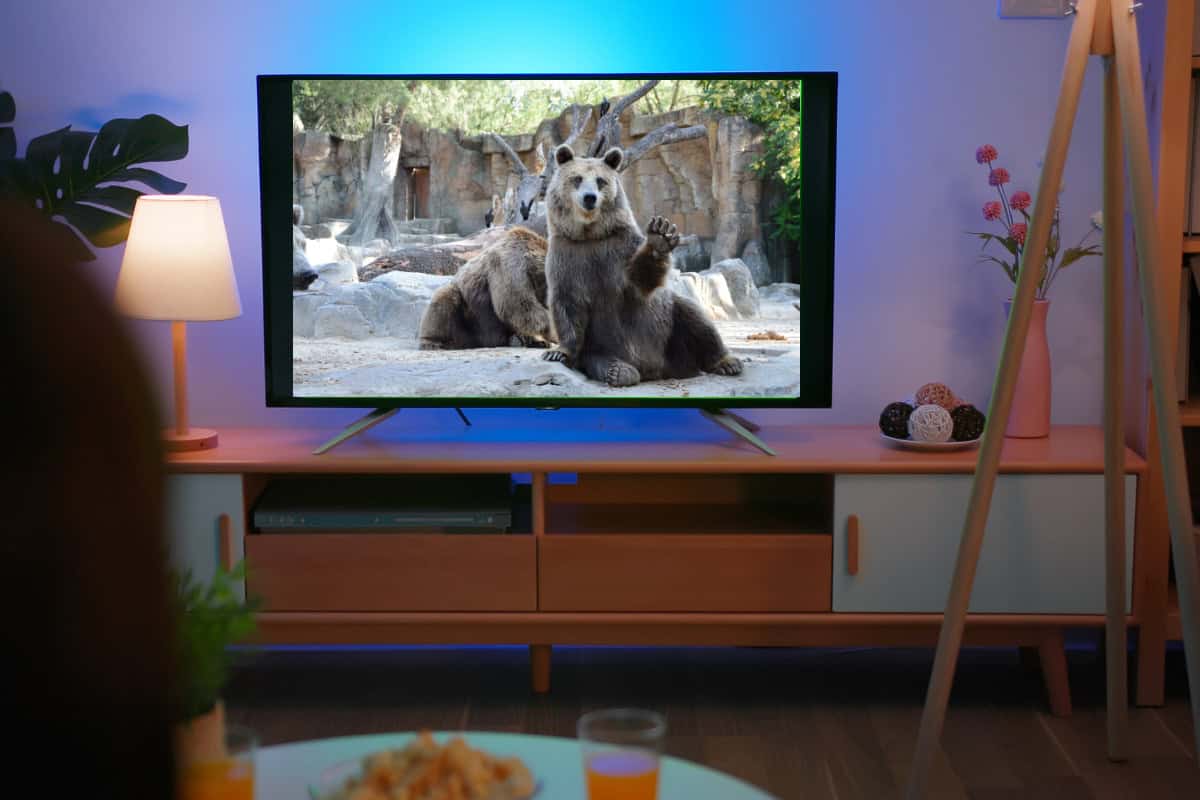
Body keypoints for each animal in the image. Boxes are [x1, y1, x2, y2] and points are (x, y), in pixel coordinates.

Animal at [418, 226, 556, 350]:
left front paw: (539, 341)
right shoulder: (510, 268)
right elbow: (518, 306)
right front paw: (549, 336)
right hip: (469, 318)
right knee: (444, 299)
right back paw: (434, 342)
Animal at [540, 144, 742, 387]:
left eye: (600, 181)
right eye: (577, 178)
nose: (590, 198)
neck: (591, 235)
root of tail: (656, 369)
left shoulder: (619, 250)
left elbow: (640, 281)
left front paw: (660, 235)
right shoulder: (568, 256)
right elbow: (567, 303)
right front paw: (558, 352)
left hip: (668, 332)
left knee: (695, 319)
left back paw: (727, 362)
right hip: (600, 345)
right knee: (598, 359)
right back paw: (618, 371)